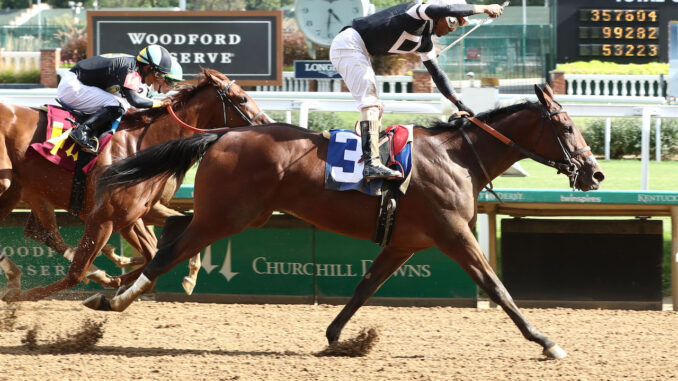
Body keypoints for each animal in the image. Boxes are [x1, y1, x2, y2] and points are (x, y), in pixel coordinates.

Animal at [0, 68, 270, 300]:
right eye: (243, 99)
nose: (266, 124)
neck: (140, 146)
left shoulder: (131, 216)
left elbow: (155, 253)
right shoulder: (104, 218)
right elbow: (76, 274)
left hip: (22, 192)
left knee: (42, 232)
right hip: (9, 184)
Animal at [86, 84, 604, 358]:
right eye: (566, 127)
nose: (595, 172)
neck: (457, 157)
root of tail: (222, 134)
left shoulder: (404, 242)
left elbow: (365, 287)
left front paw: (338, 337)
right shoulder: (454, 234)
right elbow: (497, 288)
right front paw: (546, 341)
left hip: (235, 214)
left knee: (171, 234)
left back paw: (109, 287)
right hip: (228, 217)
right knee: (170, 250)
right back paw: (116, 298)